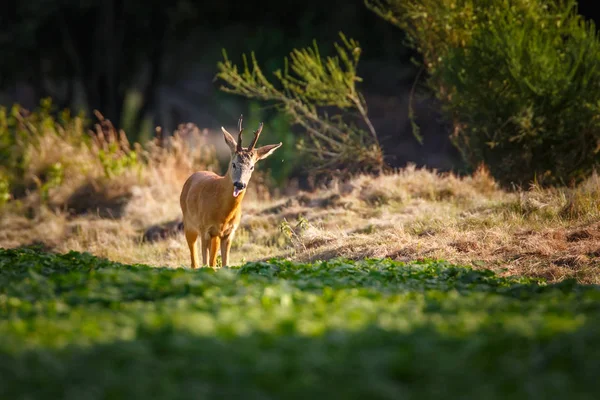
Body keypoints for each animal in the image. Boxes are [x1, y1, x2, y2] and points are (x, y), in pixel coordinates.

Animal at [179, 114, 282, 268]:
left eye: (252, 167)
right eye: (233, 164)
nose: (240, 184)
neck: (223, 214)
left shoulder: (229, 232)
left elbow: (224, 264)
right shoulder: (205, 228)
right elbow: (205, 263)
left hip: (214, 236)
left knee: (212, 261)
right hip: (189, 223)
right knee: (195, 260)